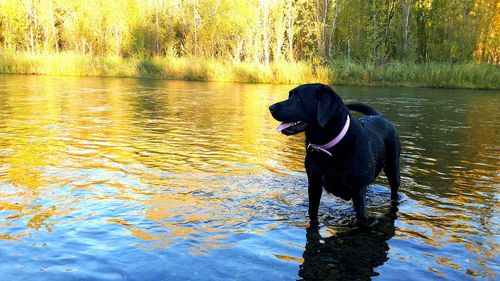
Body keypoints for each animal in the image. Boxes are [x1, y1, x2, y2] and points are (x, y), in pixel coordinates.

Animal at [268, 83, 400, 228]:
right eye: (289, 95)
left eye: (298, 98)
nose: (271, 107)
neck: (329, 148)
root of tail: (381, 117)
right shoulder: (314, 185)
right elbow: (312, 212)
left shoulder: (358, 189)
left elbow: (361, 217)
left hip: (393, 169)